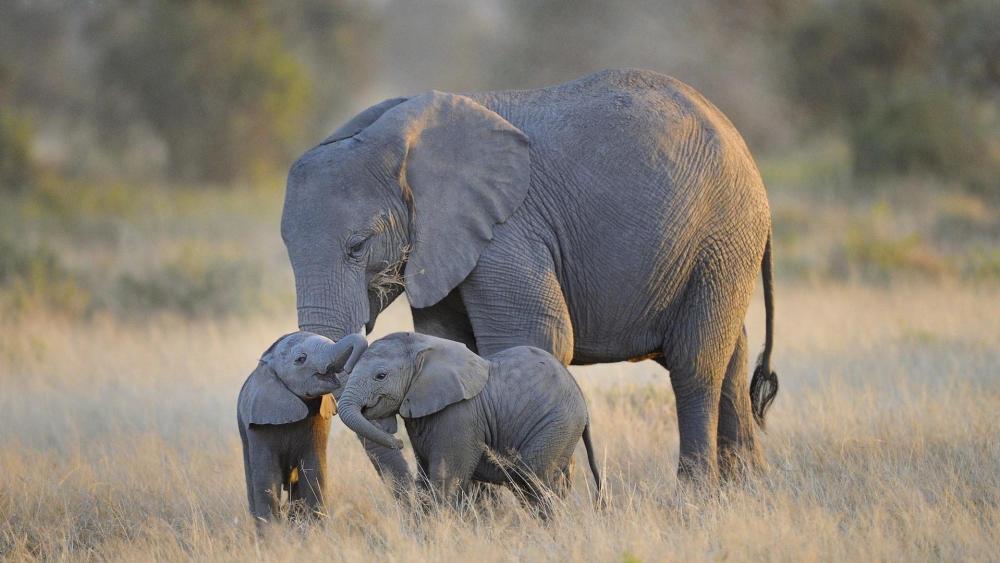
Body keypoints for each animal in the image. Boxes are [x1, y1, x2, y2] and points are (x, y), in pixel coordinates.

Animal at [236, 332, 366, 528]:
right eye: (301, 359)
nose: (350, 368)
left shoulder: (319, 418)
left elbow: (314, 472)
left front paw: (315, 530)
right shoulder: (259, 422)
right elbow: (267, 478)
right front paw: (273, 533)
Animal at [282, 68, 780, 482]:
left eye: (358, 246)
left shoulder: (507, 230)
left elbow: (536, 336)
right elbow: (451, 342)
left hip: (722, 235)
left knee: (695, 365)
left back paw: (694, 496)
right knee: (731, 358)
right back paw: (746, 492)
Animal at [336, 332, 600, 516]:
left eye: (380, 376)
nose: (398, 442)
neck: (424, 346)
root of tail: (582, 401)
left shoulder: (459, 416)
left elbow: (445, 482)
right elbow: (425, 480)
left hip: (557, 424)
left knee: (533, 479)